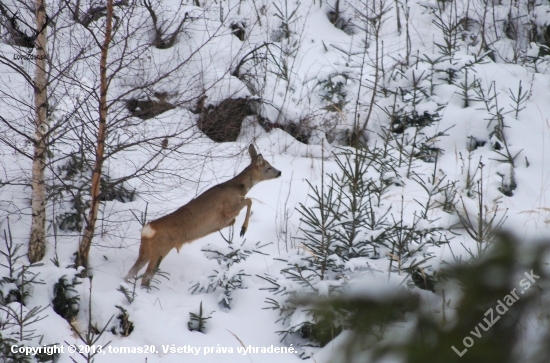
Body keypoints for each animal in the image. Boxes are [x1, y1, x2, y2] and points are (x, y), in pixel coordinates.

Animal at [125, 145, 280, 288]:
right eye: (268, 167)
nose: (279, 172)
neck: (239, 187)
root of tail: (148, 230)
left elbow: (236, 216)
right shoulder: (229, 207)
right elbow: (249, 201)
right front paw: (243, 229)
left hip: (145, 249)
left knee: (131, 272)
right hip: (161, 249)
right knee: (146, 275)